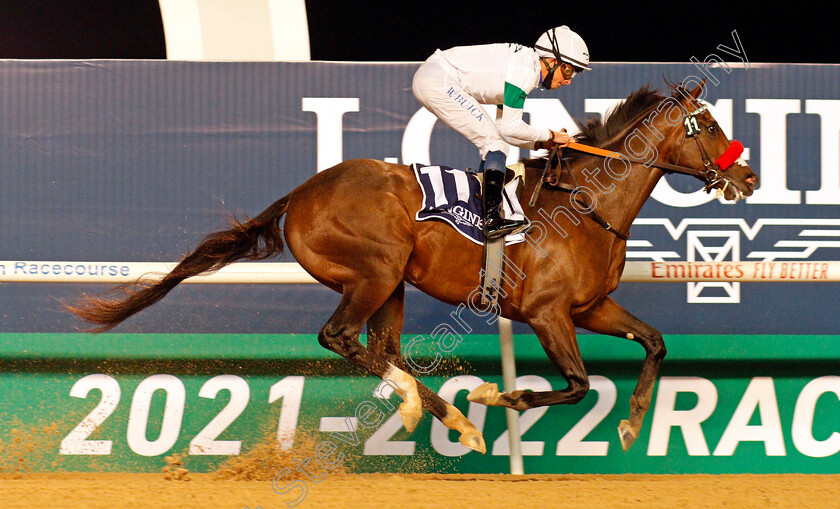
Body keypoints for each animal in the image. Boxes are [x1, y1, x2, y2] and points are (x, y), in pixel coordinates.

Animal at [69, 82, 756, 452]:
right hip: (376, 267)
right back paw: (456, 418)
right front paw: (500, 394)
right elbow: (578, 384)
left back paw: (436, 413)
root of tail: (301, 193)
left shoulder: (590, 307)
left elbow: (654, 343)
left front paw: (633, 427)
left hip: (392, 281)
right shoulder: (548, 313)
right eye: (707, 124)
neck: (585, 205)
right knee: (340, 336)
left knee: (381, 347)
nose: (747, 175)